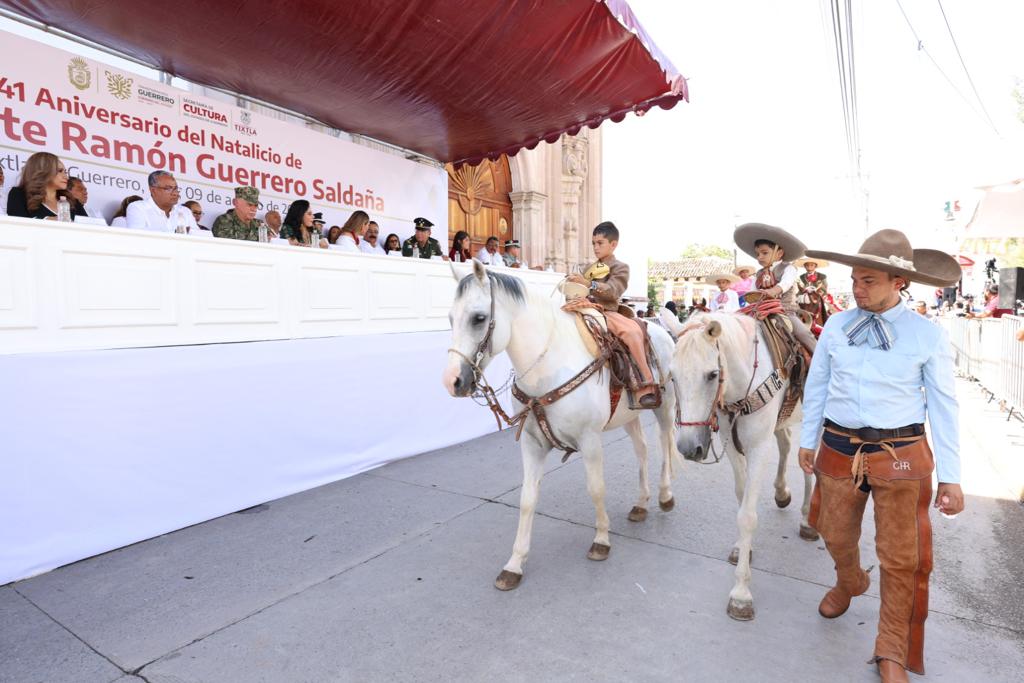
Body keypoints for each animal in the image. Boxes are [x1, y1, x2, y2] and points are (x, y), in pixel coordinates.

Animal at [446, 260, 679, 589]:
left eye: (479, 318)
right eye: (450, 318)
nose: (452, 381)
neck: (548, 368)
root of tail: (660, 329)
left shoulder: (590, 440)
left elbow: (596, 488)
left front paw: (601, 540)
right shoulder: (532, 443)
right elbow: (527, 499)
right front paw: (514, 564)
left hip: (664, 406)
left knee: (665, 443)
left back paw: (665, 496)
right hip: (629, 415)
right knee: (642, 450)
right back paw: (641, 504)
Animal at [663, 313, 815, 622]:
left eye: (712, 374)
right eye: (672, 376)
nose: (688, 447)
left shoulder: (757, 448)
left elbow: (747, 516)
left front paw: (741, 594)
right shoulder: (732, 445)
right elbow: (741, 497)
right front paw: (741, 549)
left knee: (809, 464)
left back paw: (807, 518)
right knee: (786, 444)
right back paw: (782, 492)